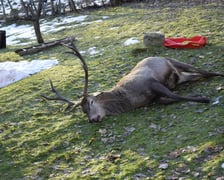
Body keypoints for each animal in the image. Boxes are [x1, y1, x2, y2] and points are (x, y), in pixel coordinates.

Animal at [41, 42, 223, 123]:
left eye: (91, 103)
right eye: (83, 111)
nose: (93, 119)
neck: (130, 99)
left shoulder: (152, 83)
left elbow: (174, 95)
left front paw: (202, 98)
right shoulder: (154, 98)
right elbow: (168, 99)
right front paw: (198, 95)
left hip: (174, 62)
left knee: (205, 71)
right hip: (181, 76)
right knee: (199, 75)